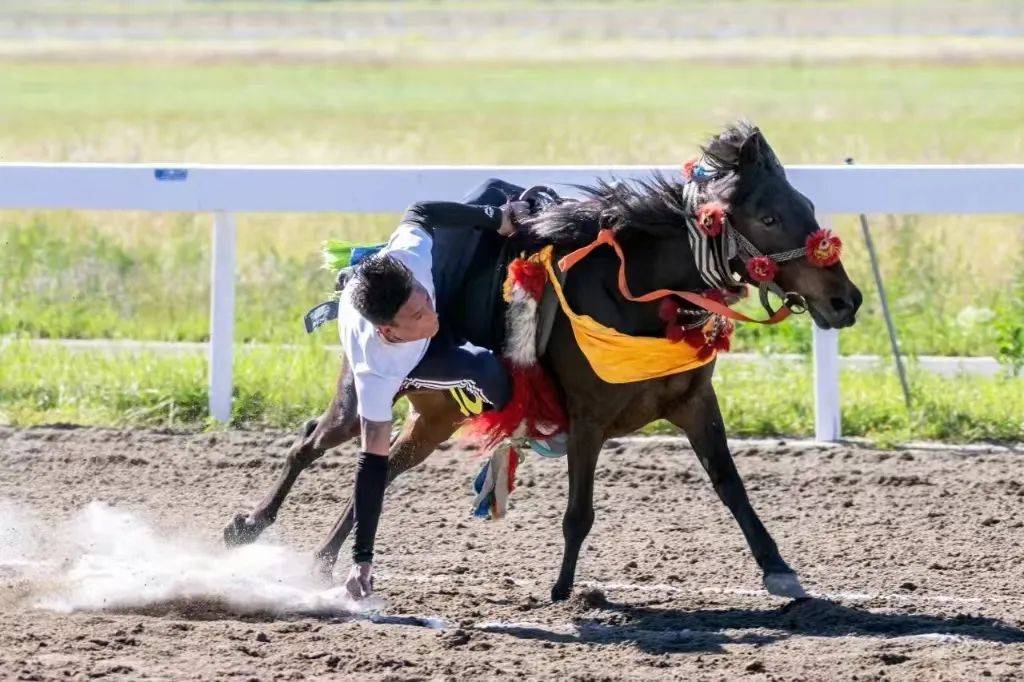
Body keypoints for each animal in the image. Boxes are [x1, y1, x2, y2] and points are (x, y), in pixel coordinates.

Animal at [224, 122, 864, 602]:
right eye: (770, 218)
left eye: (807, 205)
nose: (845, 299)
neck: (633, 295)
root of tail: (362, 273)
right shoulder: (587, 419)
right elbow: (579, 511)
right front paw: (563, 591)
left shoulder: (692, 401)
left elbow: (732, 486)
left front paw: (779, 569)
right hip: (367, 384)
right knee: (311, 441)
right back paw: (248, 526)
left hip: (435, 415)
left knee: (379, 472)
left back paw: (324, 562)